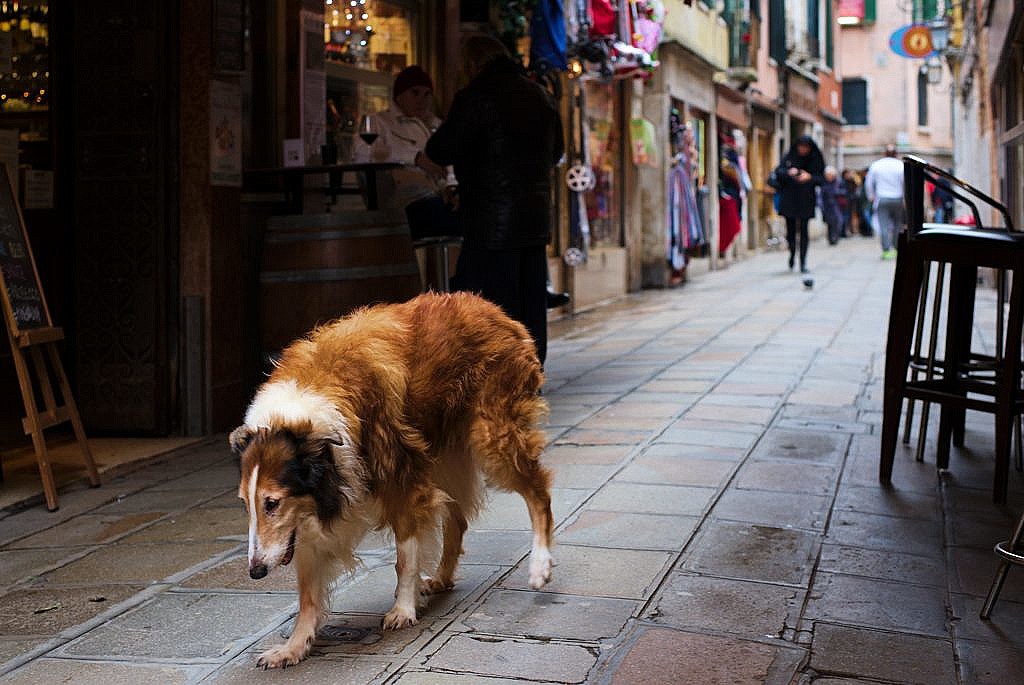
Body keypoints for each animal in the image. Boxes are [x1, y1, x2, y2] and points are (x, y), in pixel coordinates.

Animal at [231, 292, 557, 667]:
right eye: (246, 504)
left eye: (272, 503)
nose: (255, 572)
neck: (302, 421)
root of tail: (491, 308)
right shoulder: (308, 521)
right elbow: (308, 596)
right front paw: (293, 648)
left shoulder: (403, 485)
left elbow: (404, 557)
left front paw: (403, 609)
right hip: (442, 454)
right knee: (457, 520)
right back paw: (442, 579)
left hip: (494, 436)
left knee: (539, 492)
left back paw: (540, 565)